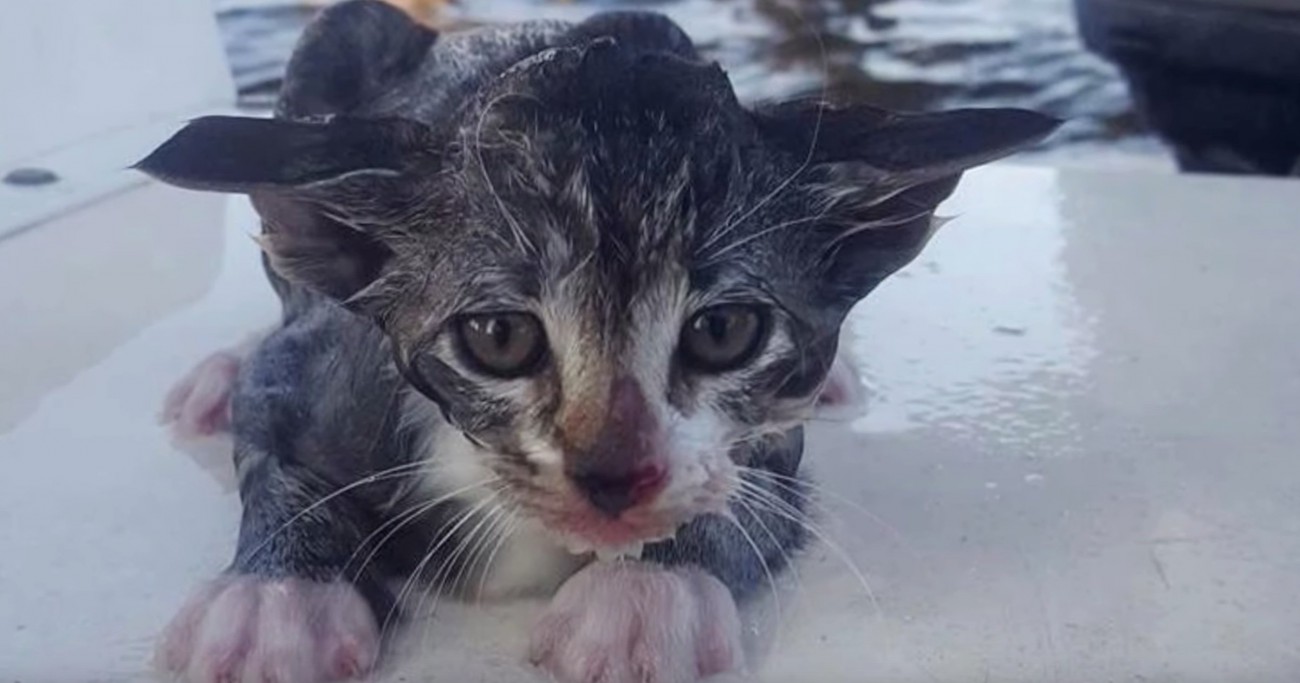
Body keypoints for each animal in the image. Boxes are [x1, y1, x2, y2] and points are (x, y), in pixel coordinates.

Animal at [137, 2, 1060, 676]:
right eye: (498, 336)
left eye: (723, 330)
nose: (615, 477)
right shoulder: (323, 370)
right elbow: (273, 433)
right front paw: (275, 603)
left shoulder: (771, 439)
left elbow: (747, 483)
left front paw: (648, 596)